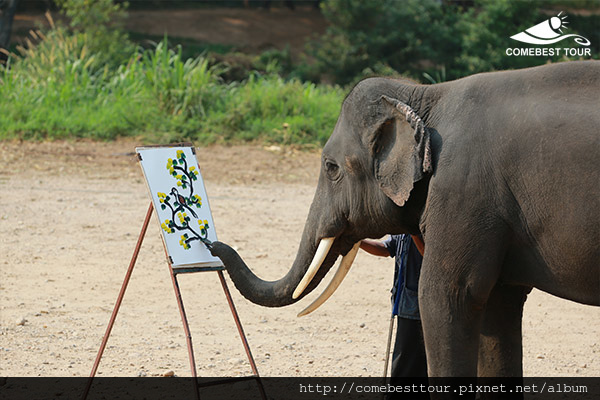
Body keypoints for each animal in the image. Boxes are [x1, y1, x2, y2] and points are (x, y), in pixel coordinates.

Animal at [209, 59, 596, 384]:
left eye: (331, 168)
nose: (213, 244)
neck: (426, 95)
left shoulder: (463, 194)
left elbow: (445, 295)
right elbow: (498, 305)